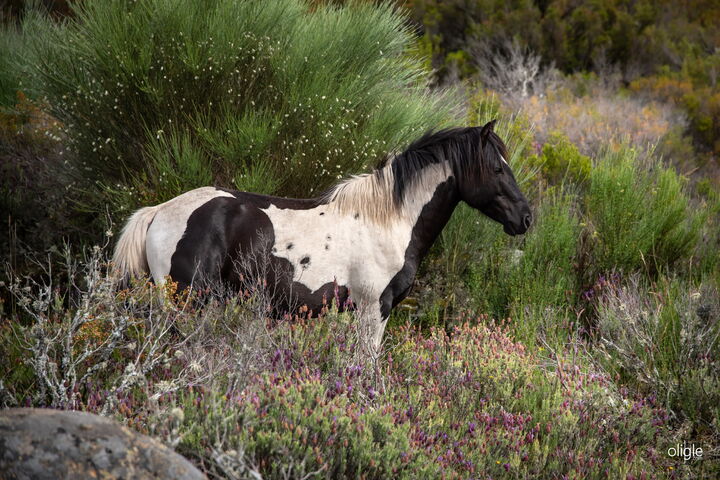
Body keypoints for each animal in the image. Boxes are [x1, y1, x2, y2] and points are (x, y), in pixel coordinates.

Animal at [111, 121, 528, 352]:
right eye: (496, 168)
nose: (525, 217)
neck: (389, 220)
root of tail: (159, 211)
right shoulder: (374, 308)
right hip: (187, 302)